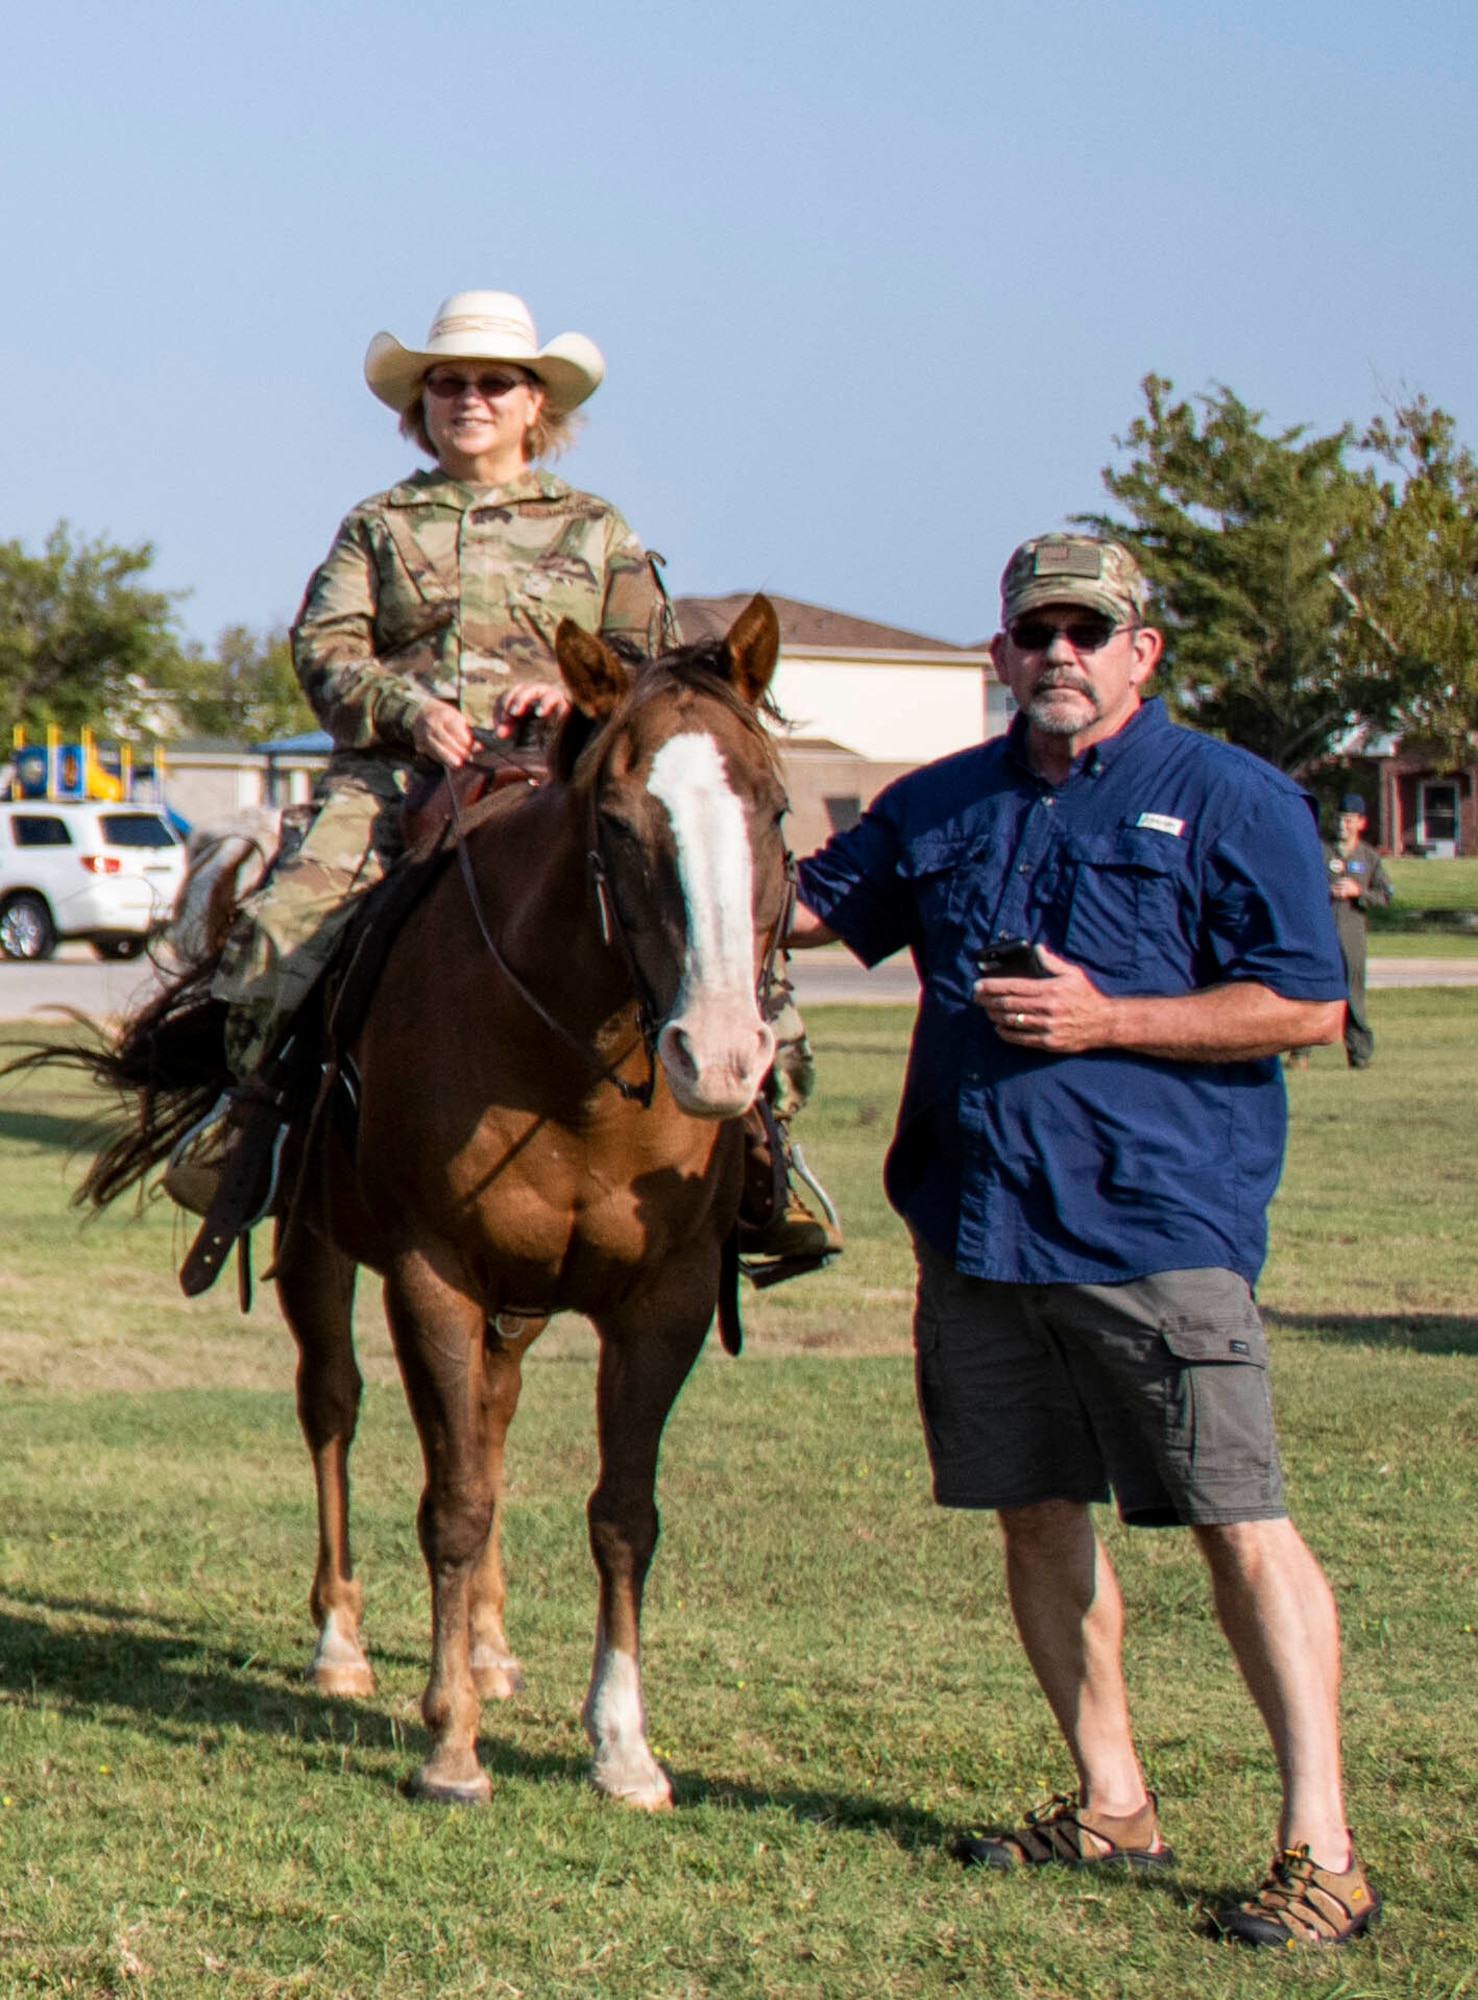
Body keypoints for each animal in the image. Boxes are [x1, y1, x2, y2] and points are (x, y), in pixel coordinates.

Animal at [40, 592, 792, 1816]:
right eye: (620, 820)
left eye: (773, 808)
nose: (720, 1055)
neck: (571, 1062)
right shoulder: (432, 1275)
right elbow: (454, 1502)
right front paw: (450, 1745)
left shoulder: (666, 1298)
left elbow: (621, 1514)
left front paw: (622, 1745)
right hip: (318, 1253)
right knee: (336, 1410)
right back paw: (343, 1642)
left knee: (491, 1415)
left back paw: (488, 1643)